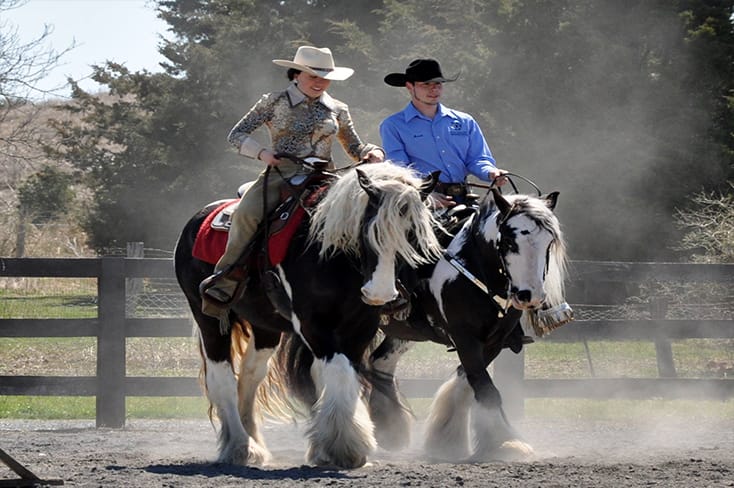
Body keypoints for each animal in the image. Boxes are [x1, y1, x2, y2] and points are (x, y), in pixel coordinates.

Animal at [173, 161, 442, 469]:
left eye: (413, 234)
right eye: (367, 231)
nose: (381, 293)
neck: (329, 253)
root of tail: (197, 219)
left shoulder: (359, 329)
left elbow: (340, 375)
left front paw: (326, 447)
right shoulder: (312, 325)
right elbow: (339, 372)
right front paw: (346, 445)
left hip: (265, 328)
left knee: (251, 375)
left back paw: (253, 440)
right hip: (209, 319)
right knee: (223, 379)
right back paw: (241, 446)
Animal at [366, 187, 569, 462]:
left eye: (549, 242)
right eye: (509, 241)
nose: (530, 295)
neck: (475, 268)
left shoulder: (494, 340)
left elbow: (468, 381)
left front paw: (446, 437)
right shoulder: (464, 337)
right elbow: (485, 387)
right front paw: (506, 442)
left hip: (403, 333)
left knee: (380, 363)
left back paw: (388, 427)